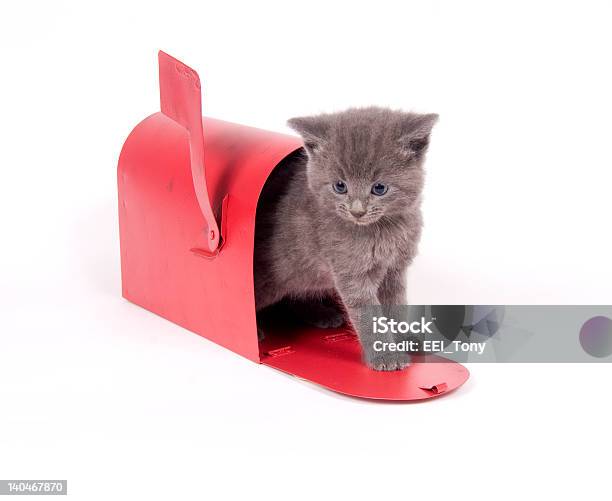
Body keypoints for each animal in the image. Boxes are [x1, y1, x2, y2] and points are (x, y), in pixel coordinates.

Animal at [255, 106, 440, 372]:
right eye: (340, 186)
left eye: (379, 188)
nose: (357, 211)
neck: (382, 231)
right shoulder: (351, 273)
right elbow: (368, 315)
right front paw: (386, 356)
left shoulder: (395, 269)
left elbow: (397, 307)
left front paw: (405, 339)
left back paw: (323, 314)